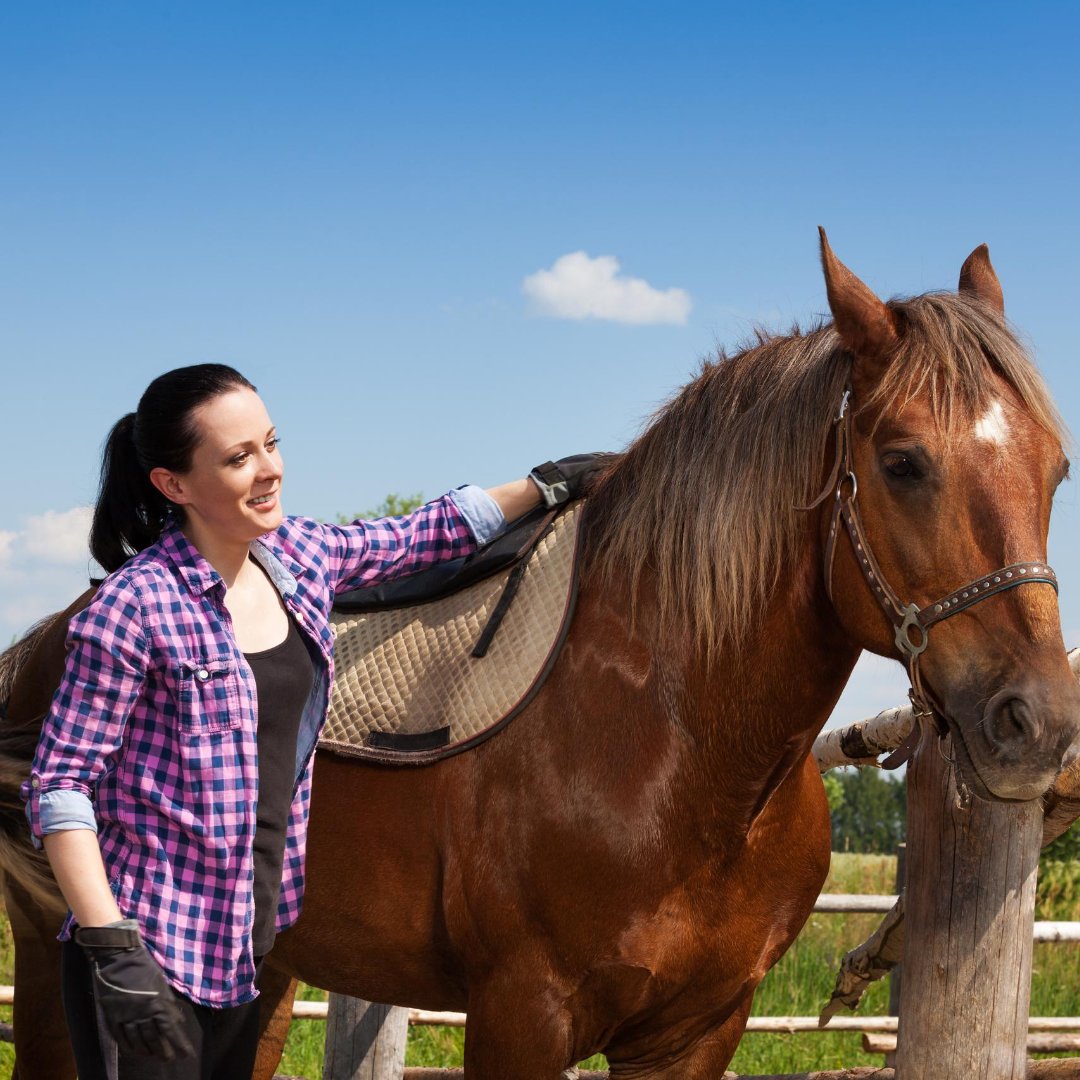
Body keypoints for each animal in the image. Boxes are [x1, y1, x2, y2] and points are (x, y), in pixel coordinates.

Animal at [1, 231, 1078, 1080]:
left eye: (1055, 466)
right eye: (902, 463)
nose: (1037, 724)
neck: (674, 743)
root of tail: (48, 640)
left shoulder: (696, 1033)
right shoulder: (523, 1016)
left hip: (260, 973)